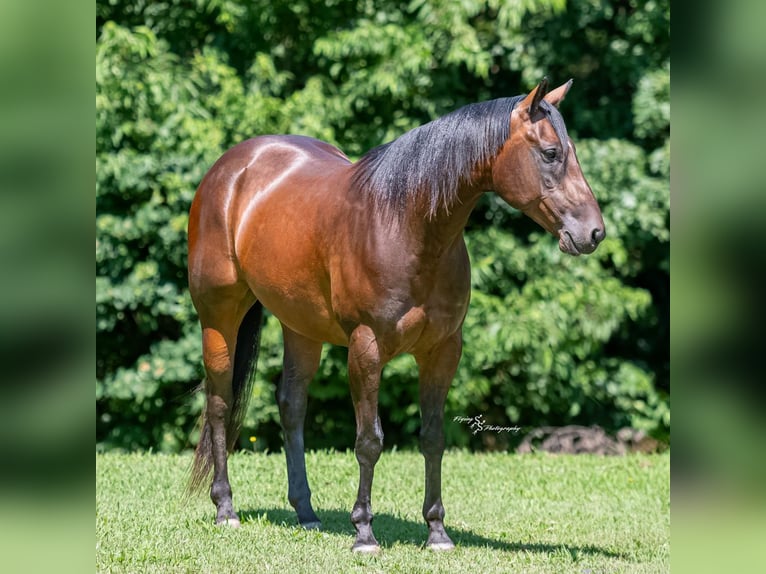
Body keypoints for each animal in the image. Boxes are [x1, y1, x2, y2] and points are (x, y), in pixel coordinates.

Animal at [186, 78, 605, 552]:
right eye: (550, 153)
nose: (593, 233)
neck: (407, 226)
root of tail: (232, 168)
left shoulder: (443, 351)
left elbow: (433, 438)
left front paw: (437, 532)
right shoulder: (366, 349)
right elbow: (370, 440)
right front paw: (364, 532)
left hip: (301, 326)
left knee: (291, 403)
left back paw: (306, 513)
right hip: (219, 317)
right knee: (220, 403)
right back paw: (225, 509)